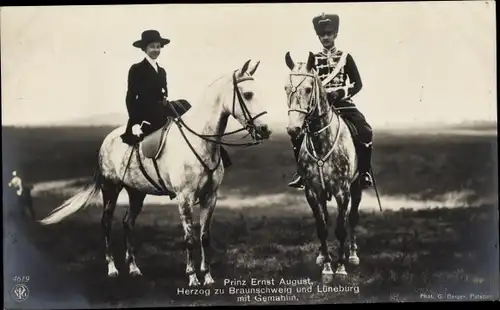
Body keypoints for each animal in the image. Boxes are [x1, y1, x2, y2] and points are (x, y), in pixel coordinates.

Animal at [39, 59, 272, 286]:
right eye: (247, 94)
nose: (266, 130)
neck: (200, 140)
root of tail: (107, 139)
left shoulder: (210, 197)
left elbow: (204, 236)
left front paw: (207, 277)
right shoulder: (184, 197)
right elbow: (189, 237)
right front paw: (192, 277)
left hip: (136, 192)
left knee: (127, 223)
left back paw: (134, 268)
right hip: (110, 188)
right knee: (106, 223)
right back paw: (112, 268)